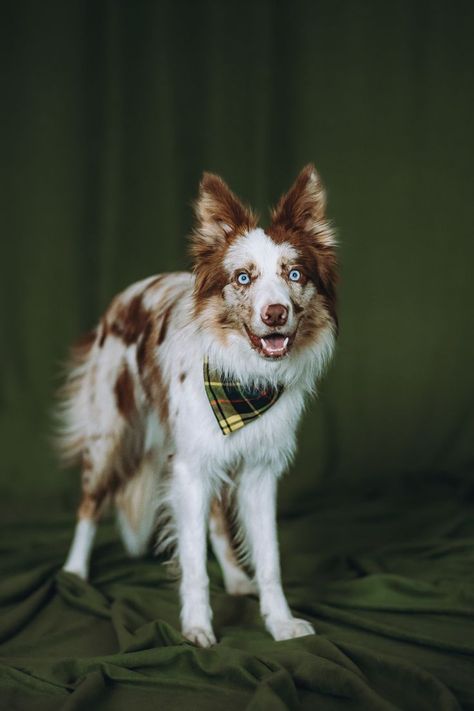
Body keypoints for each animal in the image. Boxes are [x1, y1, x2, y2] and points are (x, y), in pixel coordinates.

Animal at [58, 164, 336, 648]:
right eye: (243, 278)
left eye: (295, 275)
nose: (276, 314)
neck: (244, 380)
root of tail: (126, 295)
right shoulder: (189, 467)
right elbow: (191, 562)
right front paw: (197, 628)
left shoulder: (259, 470)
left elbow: (270, 558)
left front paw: (280, 622)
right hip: (111, 431)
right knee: (90, 502)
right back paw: (74, 572)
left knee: (216, 520)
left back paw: (236, 578)